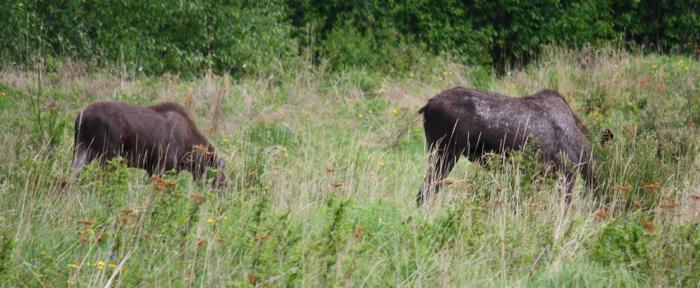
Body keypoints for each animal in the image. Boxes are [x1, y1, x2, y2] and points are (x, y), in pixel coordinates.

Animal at [71, 101, 226, 187]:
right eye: (219, 179)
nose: (224, 187)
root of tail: (80, 117)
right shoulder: (161, 166)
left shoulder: (151, 168)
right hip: (108, 155)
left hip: (82, 149)